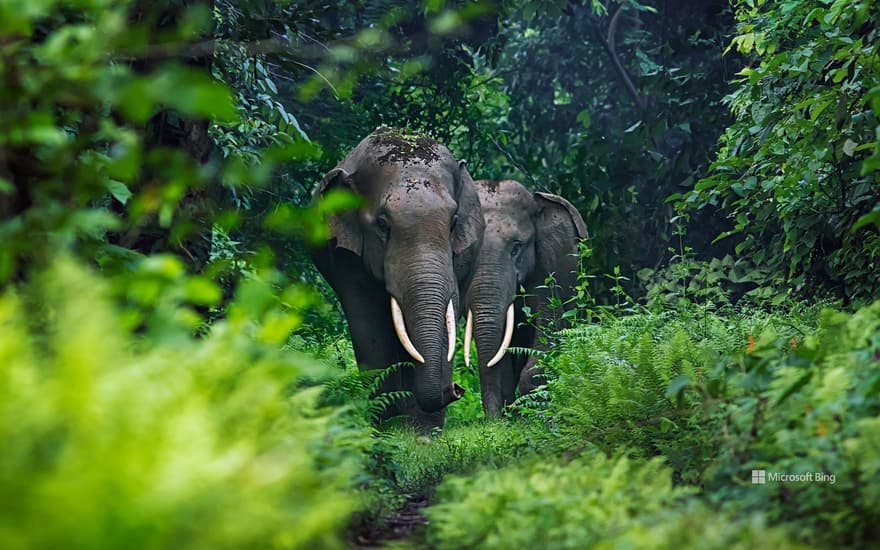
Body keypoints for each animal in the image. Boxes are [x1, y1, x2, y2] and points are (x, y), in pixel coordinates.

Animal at [310, 128, 484, 432]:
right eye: (382, 225)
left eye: (453, 222)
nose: (456, 389)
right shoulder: (345, 257)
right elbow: (370, 325)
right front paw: (388, 427)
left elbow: (447, 316)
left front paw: (423, 433)